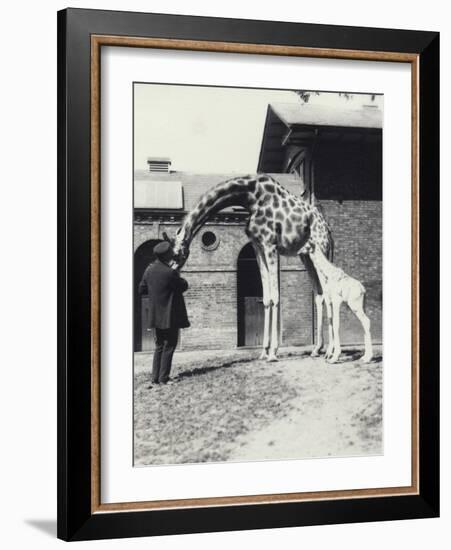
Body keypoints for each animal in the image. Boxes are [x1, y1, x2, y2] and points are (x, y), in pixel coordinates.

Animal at [164, 174, 334, 362]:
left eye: (177, 254)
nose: (171, 273)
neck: (251, 197)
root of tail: (327, 229)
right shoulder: (257, 246)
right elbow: (266, 298)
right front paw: (264, 351)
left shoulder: (270, 245)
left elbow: (275, 297)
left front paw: (273, 353)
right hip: (307, 255)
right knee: (319, 294)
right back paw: (317, 349)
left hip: (321, 250)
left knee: (329, 293)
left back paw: (331, 351)